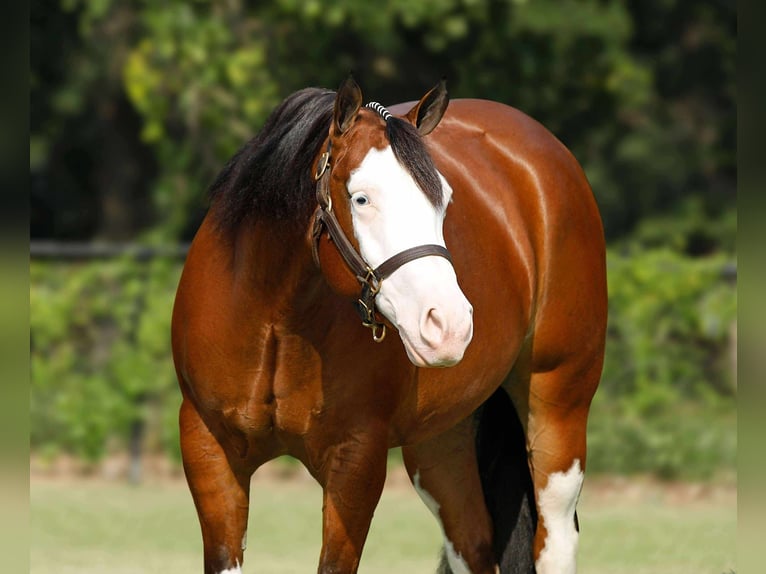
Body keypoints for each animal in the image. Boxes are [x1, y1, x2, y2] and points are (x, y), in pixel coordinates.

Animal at [171, 75, 607, 574]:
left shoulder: (356, 460)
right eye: (361, 197)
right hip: (441, 443)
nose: (449, 326)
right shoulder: (210, 450)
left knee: (555, 538)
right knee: (471, 540)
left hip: (559, 410)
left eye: (445, 200)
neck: (275, 319)